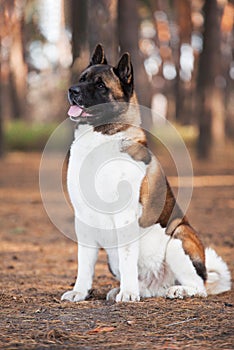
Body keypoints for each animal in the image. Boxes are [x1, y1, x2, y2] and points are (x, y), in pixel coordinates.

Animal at [61, 43, 231, 300]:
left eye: (100, 85)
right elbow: (84, 262)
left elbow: (127, 257)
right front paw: (80, 292)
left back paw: (177, 289)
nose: (72, 90)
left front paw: (128, 294)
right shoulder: (83, 218)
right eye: (82, 78)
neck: (101, 138)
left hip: (178, 238)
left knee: (199, 287)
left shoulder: (125, 216)